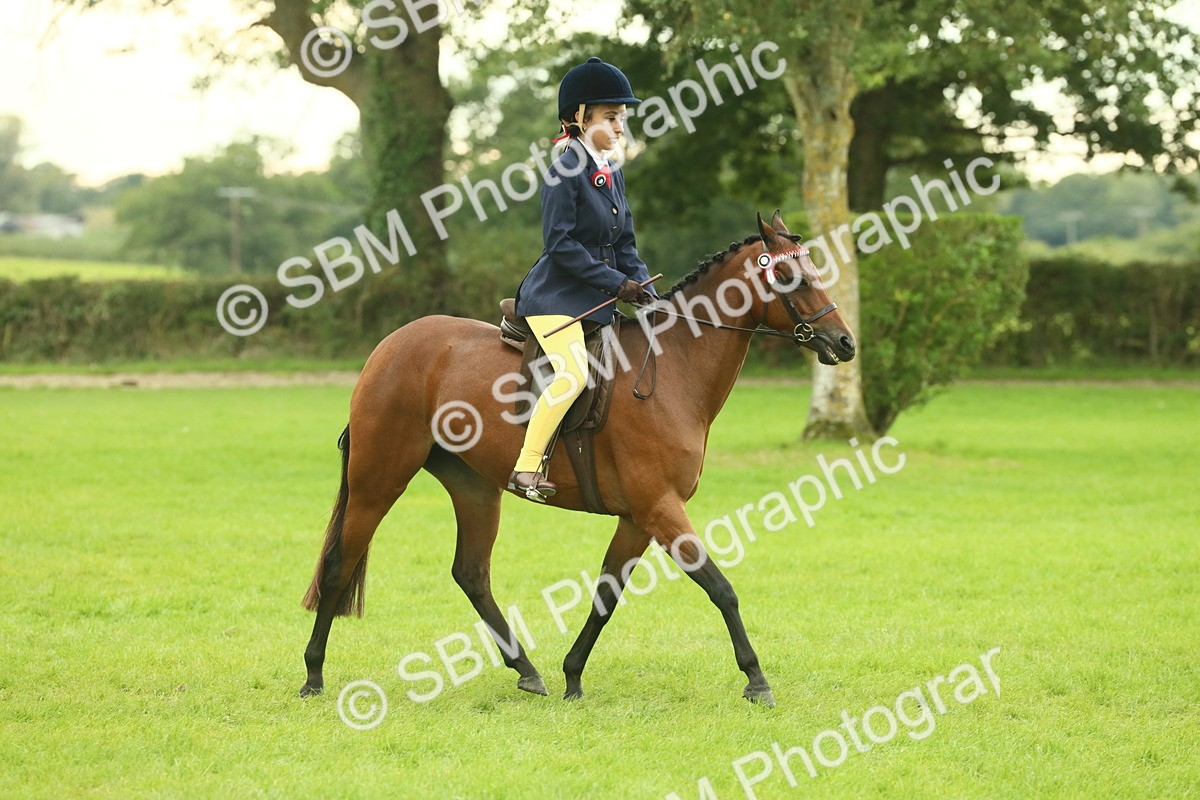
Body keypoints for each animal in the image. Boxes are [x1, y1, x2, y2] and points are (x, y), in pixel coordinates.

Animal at [299, 211, 856, 706]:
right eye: (787, 275)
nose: (845, 342)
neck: (674, 368)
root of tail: (388, 346)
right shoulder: (660, 507)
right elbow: (721, 587)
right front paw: (756, 680)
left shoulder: (638, 517)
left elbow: (607, 594)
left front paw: (572, 675)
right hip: (379, 478)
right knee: (339, 564)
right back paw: (313, 675)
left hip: (474, 486)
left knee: (471, 574)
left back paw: (527, 671)